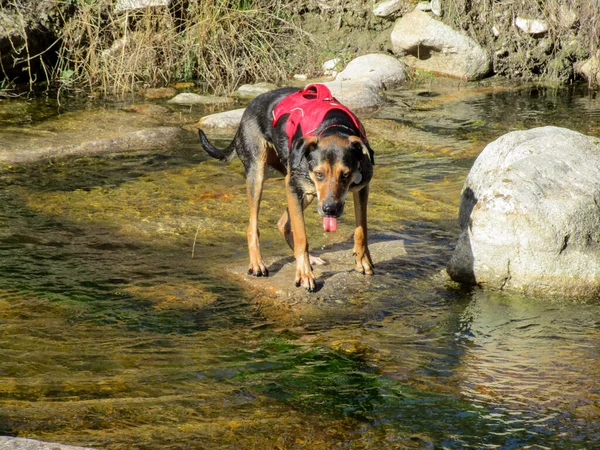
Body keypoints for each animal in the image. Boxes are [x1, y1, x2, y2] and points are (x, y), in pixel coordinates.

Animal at [199, 83, 372, 292]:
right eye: (319, 174)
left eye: (345, 175)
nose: (330, 209)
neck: (334, 127)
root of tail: (246, 110)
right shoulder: (293, 186)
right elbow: (301, 237)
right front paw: (304, 275)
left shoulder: (362, 188)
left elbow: (361, 230)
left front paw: (363, 262)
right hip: (260, 172)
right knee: (253, 227)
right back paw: (257, 263)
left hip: (306, 191)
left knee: (283, 223)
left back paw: (310, 259)